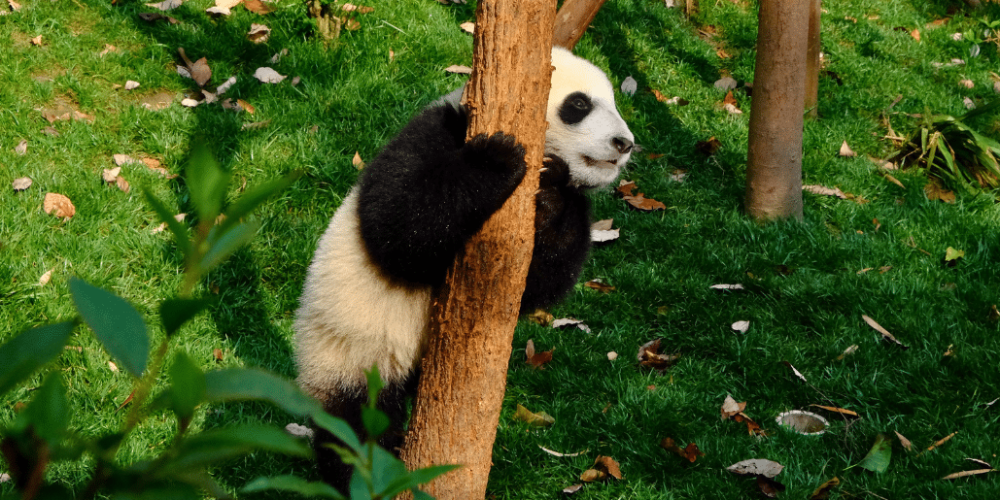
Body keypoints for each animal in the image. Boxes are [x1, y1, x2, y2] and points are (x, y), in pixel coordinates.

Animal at [294, 46, 633, 490]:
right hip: (348, 348)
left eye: (614, 104)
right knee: (355, 424)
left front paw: (553, 193)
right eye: (579, 105)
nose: (624, 143)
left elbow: (539, 282)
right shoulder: (435, 130)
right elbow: (398, 224)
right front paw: (498, 158)